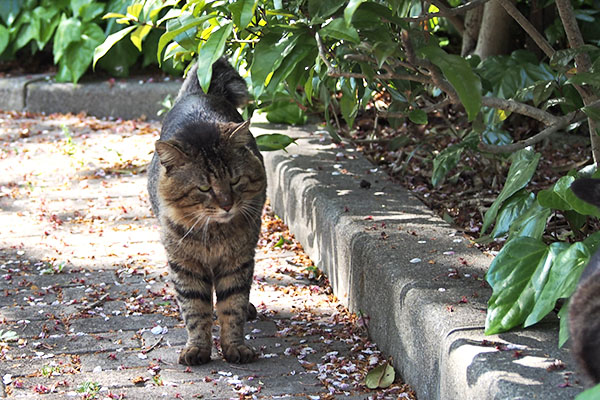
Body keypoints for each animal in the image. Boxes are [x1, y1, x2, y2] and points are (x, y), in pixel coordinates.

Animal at [146, 58, 266, 366]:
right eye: (204, 188)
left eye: (234, 181)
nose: (226, 204)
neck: (213, 234)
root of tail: (199, 93)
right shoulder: (184, 264)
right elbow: (195, 310)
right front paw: (197, 348)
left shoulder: (238, 261)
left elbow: (232, 306)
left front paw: (235, 346)